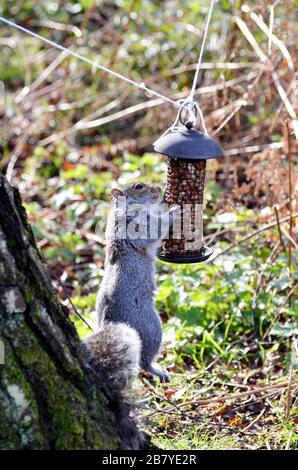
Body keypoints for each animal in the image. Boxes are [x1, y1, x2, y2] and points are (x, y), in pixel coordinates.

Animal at [82, 183, 178, 390]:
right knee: (143, 361)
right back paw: (159, 371)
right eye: (139, 186)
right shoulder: (136, 226)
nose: (157, 188)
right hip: (150, 329)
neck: (126, 208)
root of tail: (110, 321)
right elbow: (154, 230)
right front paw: (174, 210)